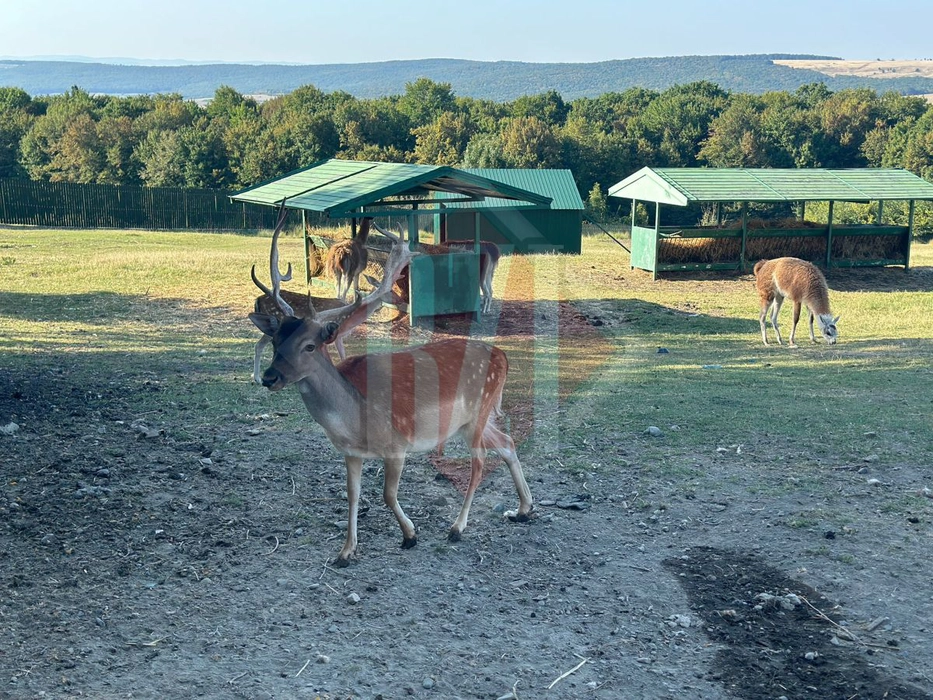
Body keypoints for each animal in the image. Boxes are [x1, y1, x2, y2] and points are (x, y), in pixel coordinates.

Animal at [249, 225, 534, 567]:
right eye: (276, 341)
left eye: (310, 345)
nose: (269, 377)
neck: (352, 422)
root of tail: (503, 357)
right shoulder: (351, 453)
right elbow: (352, 494)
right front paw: (345, 552)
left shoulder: (397, 445)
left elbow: (387, 494)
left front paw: (410, 535)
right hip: (473, 419)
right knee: (507, 443)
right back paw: (523, 509)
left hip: (479, 410)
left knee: (479, 463)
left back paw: (457, 527)